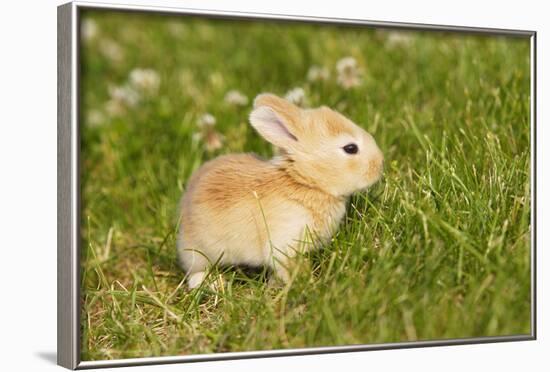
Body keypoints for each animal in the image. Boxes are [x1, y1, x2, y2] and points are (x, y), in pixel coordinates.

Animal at [178, 92, 384, 288]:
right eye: (350, 148)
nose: (380, 164)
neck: (304, 181)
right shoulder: (285, 243)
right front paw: (308, 283)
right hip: (200, 252)